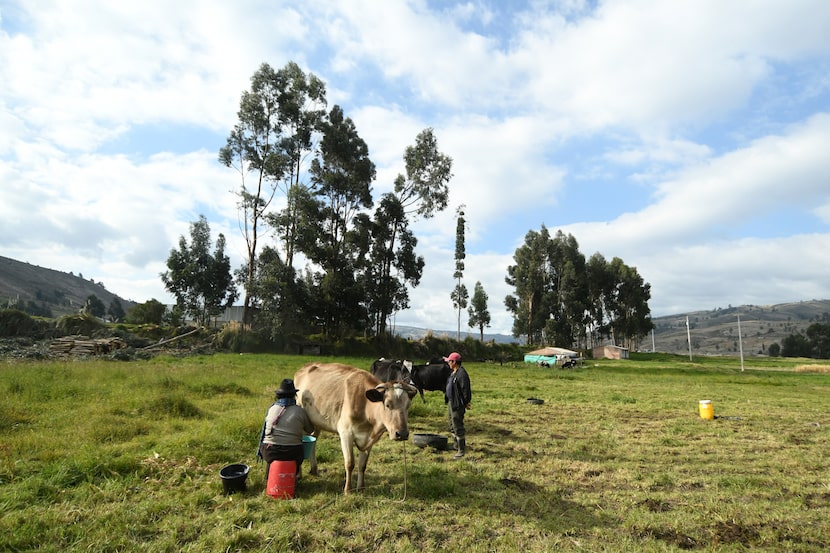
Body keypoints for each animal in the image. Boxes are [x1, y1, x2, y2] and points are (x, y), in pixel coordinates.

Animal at [296, 360, 420, 494]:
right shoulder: (346, 434)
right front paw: (347, 490)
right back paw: (299, 475)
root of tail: (306, 366)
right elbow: (350, 463)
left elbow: (362, 465)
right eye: (387, 405)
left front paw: (361, 488)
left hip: (316, 422)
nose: (402, 434)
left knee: (313, 441)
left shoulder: (369, 439)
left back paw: (314, 469)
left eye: (407, 406)